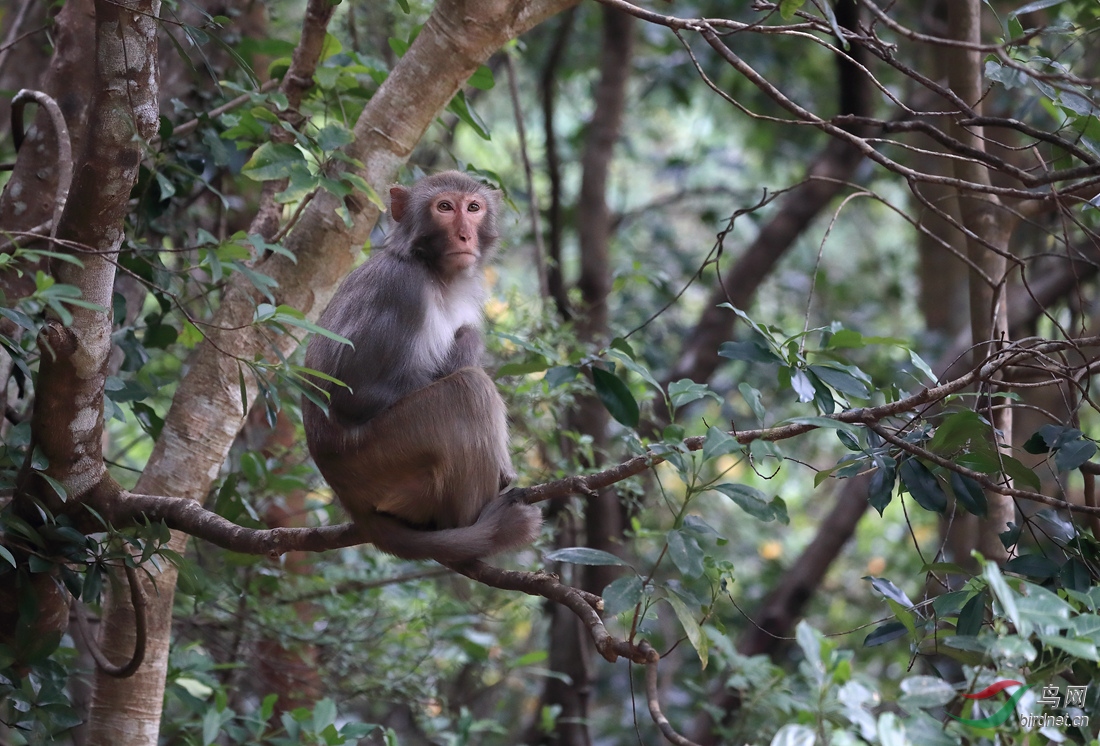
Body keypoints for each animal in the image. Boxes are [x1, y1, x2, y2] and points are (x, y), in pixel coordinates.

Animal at [301, 170, 541, 567]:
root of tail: (350, 501)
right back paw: (476, 528)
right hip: (381, 460)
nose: (465, 235)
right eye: (444, 207)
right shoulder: (401, 290)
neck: (433, 273)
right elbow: (353, 394)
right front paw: (468, 344)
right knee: (468, 391)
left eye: (473, 208)